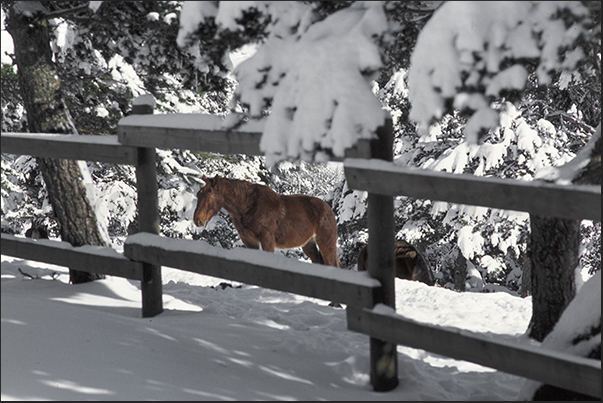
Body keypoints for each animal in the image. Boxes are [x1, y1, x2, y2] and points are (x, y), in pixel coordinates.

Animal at [193, 174, 340, 266]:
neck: (249, 206)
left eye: (209, 194)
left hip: (326, 243)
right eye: (198, 194)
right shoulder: (249, 241)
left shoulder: (267, 240)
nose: (197, 220)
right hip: (309, 244)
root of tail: (329, 210)